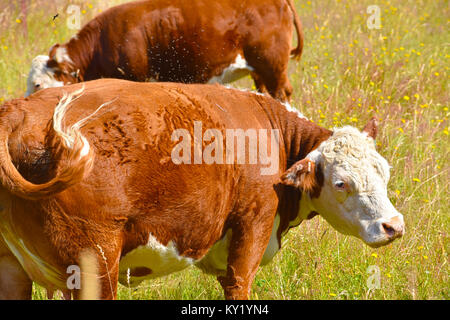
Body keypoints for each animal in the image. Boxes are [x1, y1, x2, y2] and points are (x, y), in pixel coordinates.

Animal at [0, 79, 400, 298]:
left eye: (384, 172)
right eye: (341, 182)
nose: (393, 226)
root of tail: (18, 110)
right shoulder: (252, 226)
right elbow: (240, 284)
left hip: (13, 269)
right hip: (94, 264)